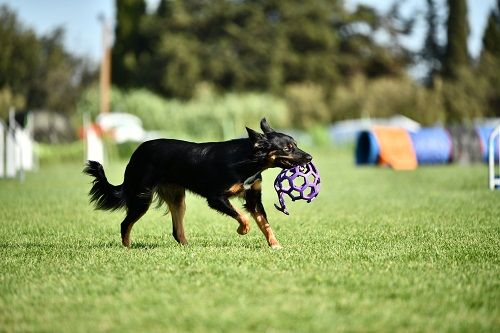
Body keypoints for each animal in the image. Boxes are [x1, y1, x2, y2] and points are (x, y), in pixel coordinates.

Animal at [83, 118, 310, 248]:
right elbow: (243, 216)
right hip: (142, 197)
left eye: (295, 144)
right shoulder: (216, 197)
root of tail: (136, 152)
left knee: (176, 231)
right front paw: (243, 230)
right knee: (125, 223)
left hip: (177, 199)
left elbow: (265, 224)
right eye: (287, 148)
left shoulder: (254, 198)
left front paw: (275, 245)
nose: (309, 157)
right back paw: (127, 247)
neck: (247, 160)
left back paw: (186, 246)